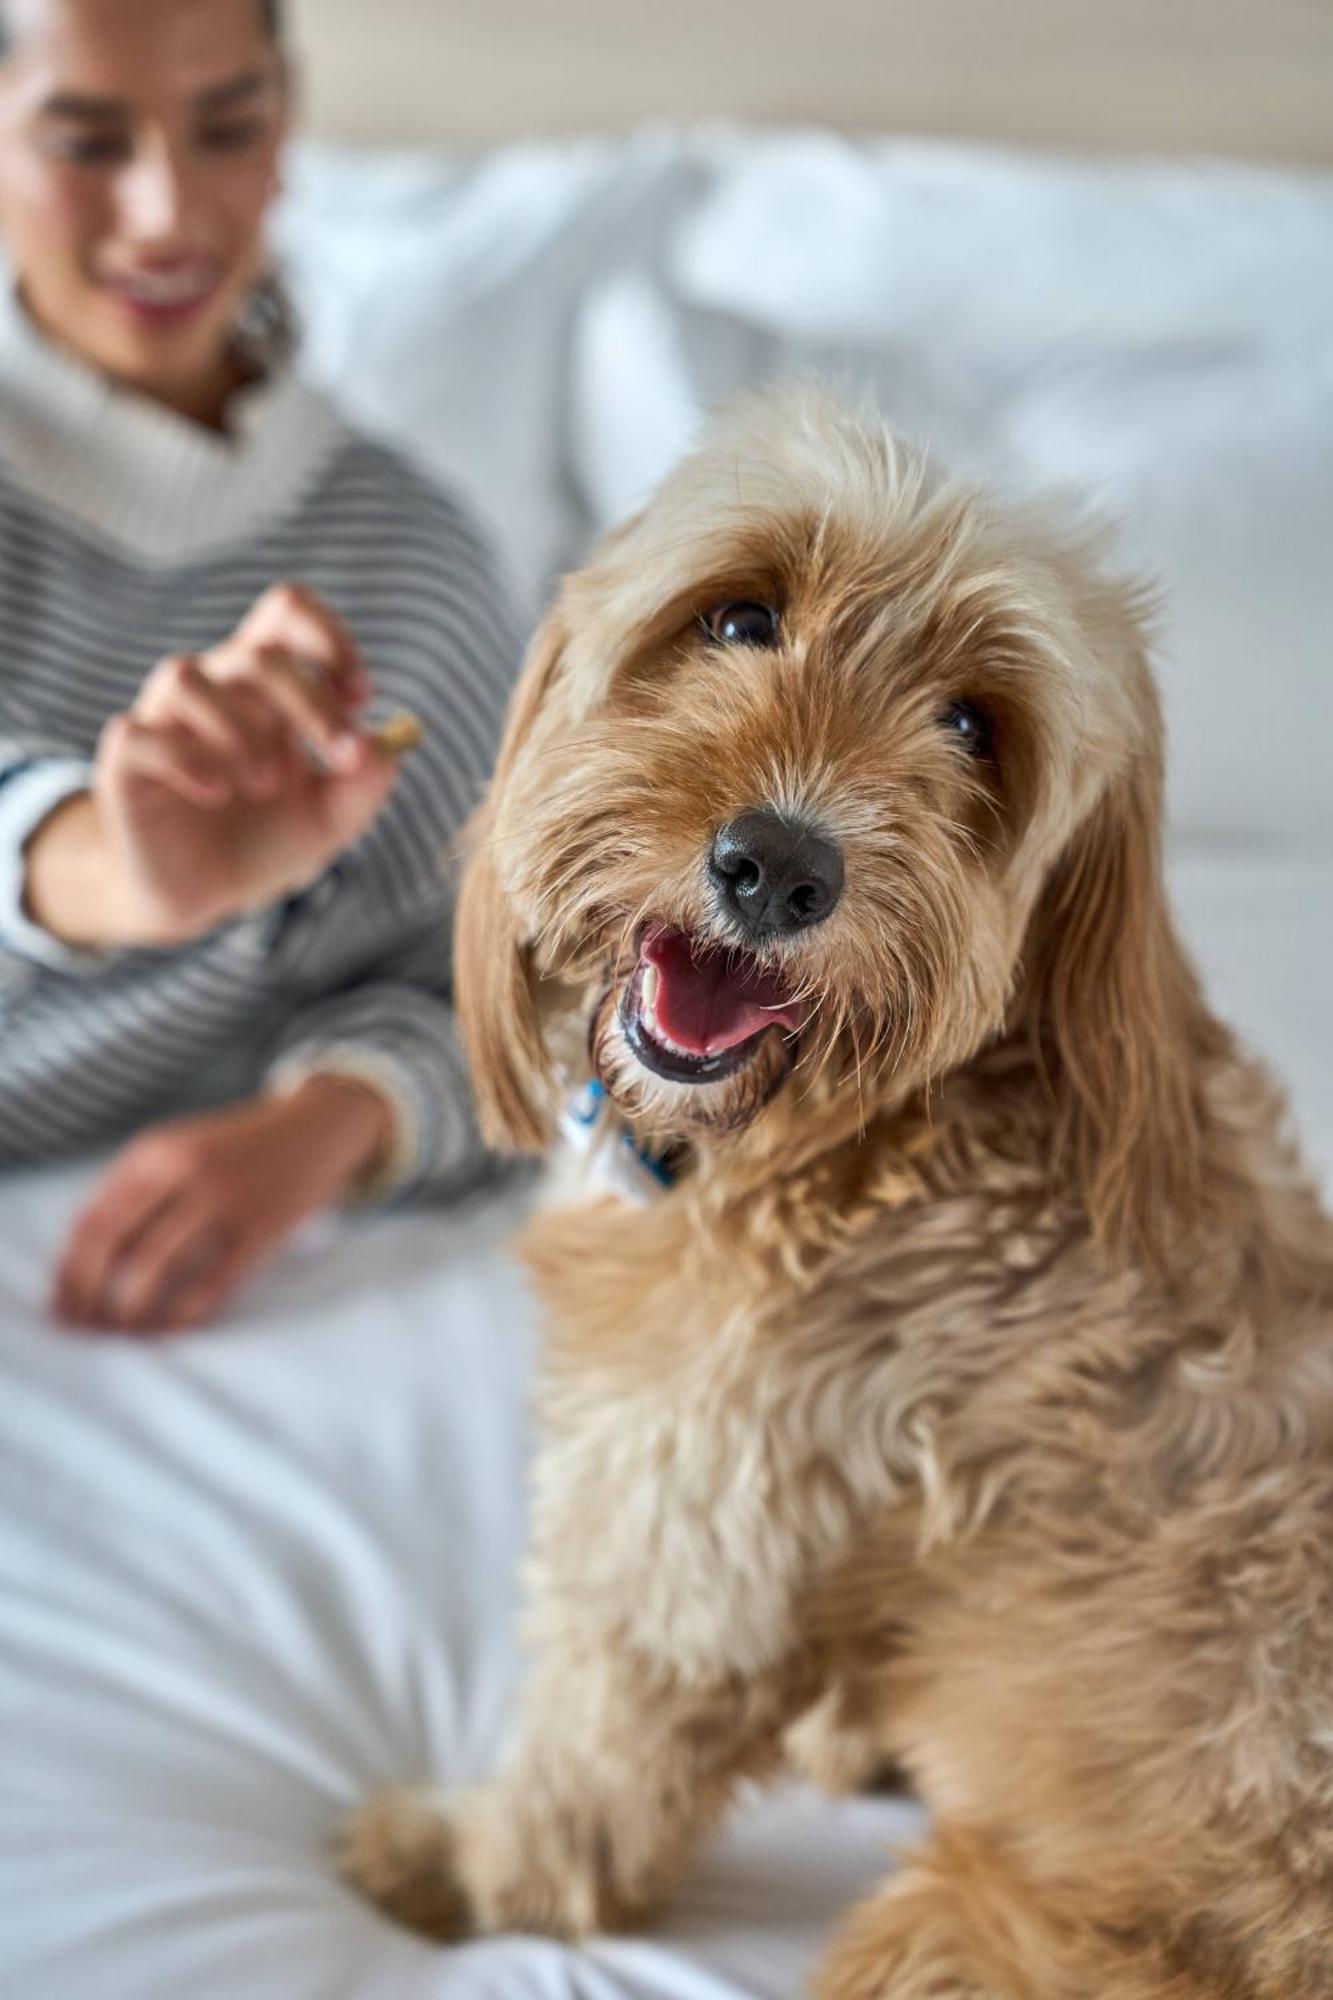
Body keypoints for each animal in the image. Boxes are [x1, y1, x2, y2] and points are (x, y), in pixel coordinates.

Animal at [340, 390, 1328, 2000]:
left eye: (973, 726)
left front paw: (467, 1871)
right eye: (741, 616)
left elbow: (594, 1764)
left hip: (959, 1938)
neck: (876, 1142)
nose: (777, 867)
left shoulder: (700, 1520)